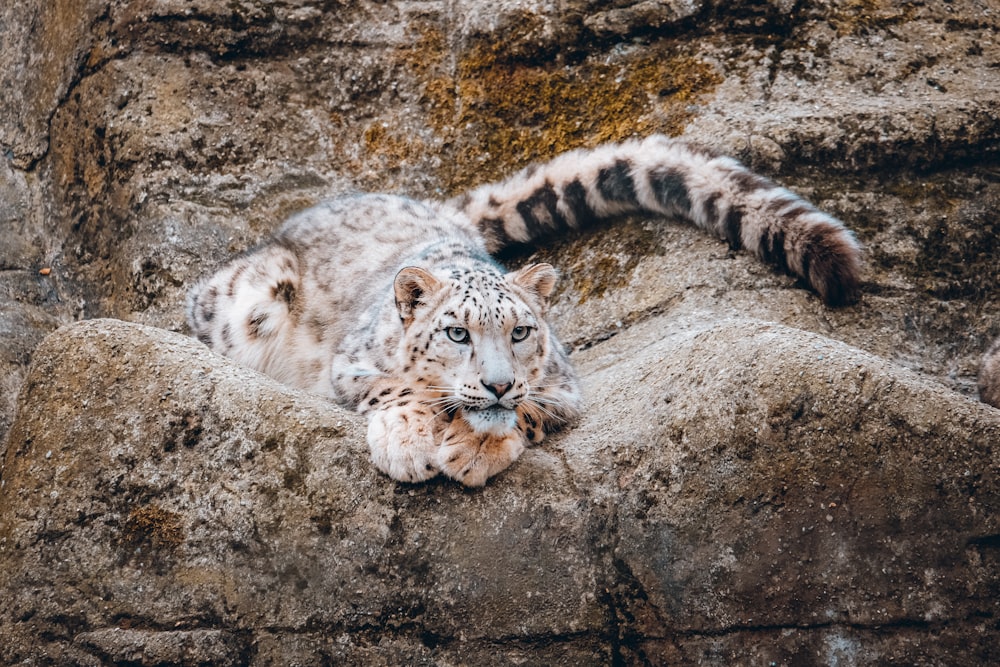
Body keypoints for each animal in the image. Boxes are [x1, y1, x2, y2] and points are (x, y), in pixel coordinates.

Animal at [191, 136, 864, 486]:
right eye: (455, 332)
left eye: (520, 332)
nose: (496, 382)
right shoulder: (349, 368)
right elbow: (401, 390)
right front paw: (408, 442)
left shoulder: (564, 389)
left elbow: (528, 412)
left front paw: (473, 449)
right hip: (247, 299)